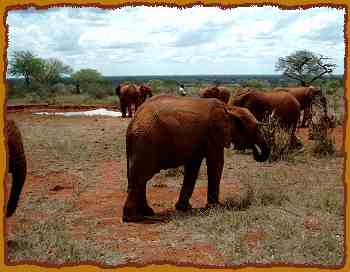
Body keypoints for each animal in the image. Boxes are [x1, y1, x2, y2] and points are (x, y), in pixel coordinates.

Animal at [123, 94, 270, 222]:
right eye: (256, 128)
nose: (255, 151)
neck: (230, 109)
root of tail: (132, 123)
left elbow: (193, 167)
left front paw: (184, 208)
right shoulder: (213, 135)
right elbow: (216, 163)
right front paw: (216, 207)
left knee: (139, 178)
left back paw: (147, 212)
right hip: (146, 142)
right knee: (140, 177)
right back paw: (134, 218)